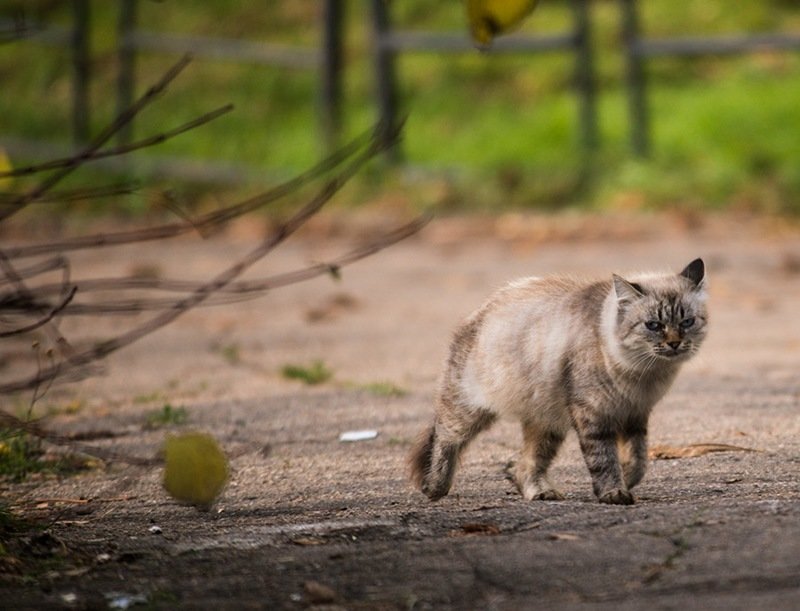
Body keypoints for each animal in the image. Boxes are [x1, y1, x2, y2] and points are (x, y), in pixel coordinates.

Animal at [412, 258, 708, 506]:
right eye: (654, 325)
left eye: (687, 322)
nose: (674, 343)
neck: (642, 373)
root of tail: (481, 311)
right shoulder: (593, 416)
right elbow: (604, 460)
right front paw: (614, 492)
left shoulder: (635, 414)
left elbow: (638, 460)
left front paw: (627, 478)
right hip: (468, 410)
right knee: (445, 438)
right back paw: (435, 486)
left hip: (548, 424)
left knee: (525, 465)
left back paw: (540, 492)